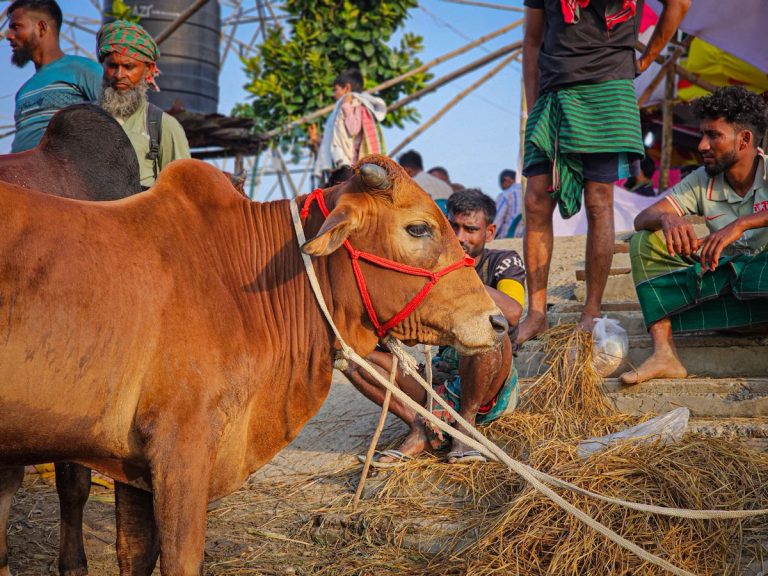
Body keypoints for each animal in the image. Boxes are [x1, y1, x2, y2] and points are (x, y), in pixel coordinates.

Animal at [0, 155, 506, 575]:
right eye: (418, 229)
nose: (497, 320)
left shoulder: (132, 463)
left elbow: (136, 554)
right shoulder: (181, 446)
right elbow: (181, 558)